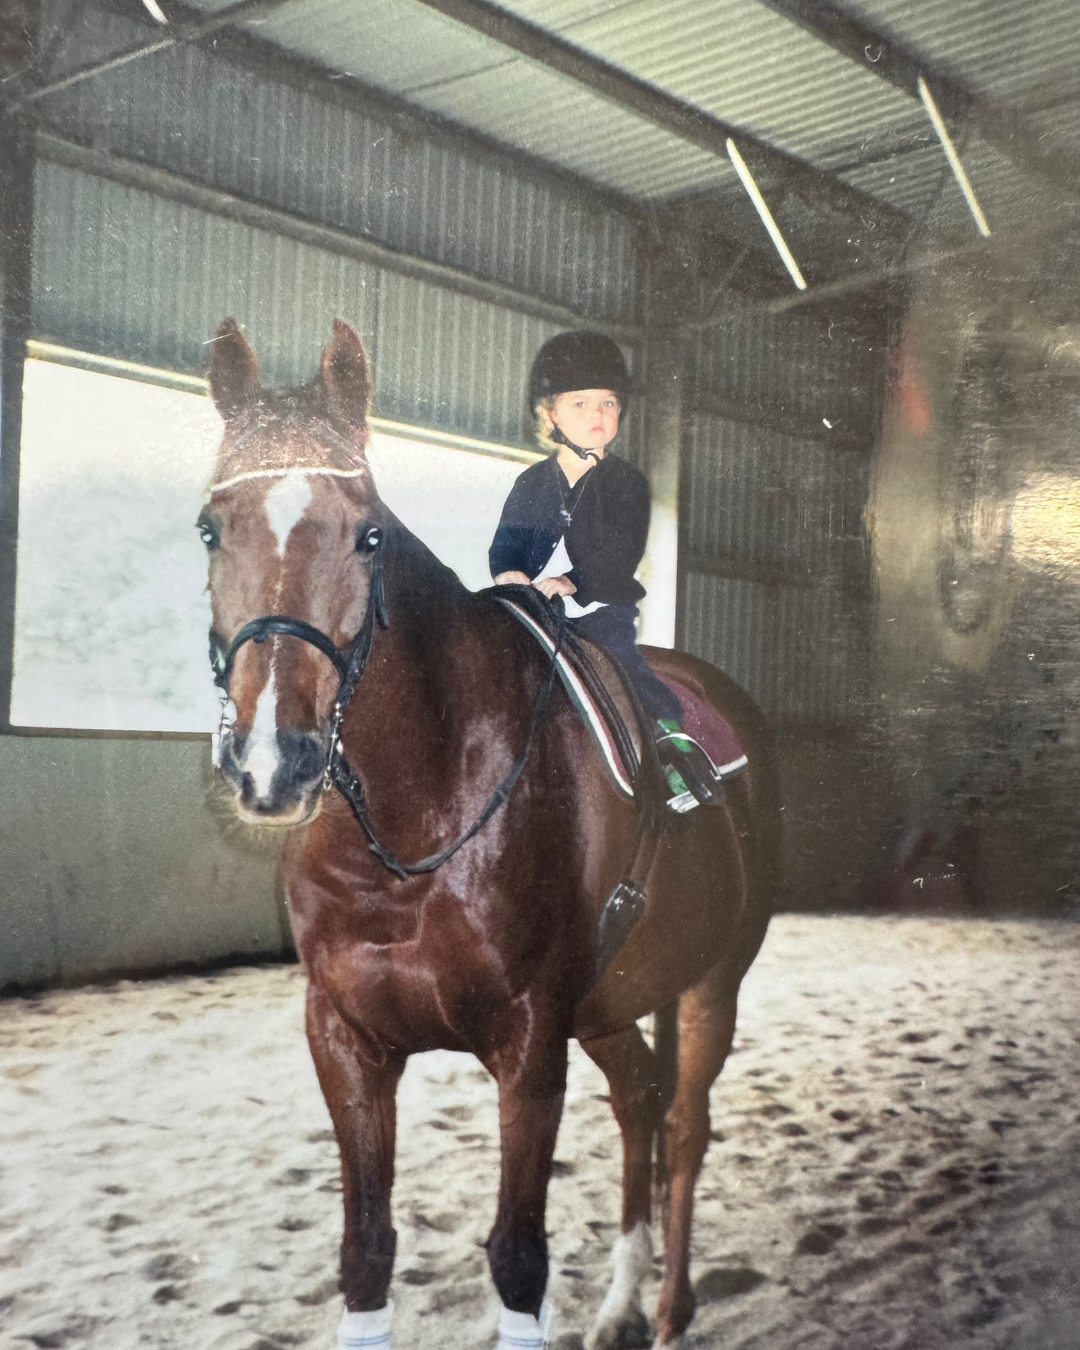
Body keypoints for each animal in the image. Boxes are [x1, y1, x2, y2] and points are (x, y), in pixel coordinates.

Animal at [199, 317, 781, 1349]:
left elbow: (518, 1260)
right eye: (209, 528)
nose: (274, 761)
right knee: (639, 1100)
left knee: (683, 1128)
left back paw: (671, 1310)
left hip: (714, 979)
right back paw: (622, 1304)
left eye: (369, 534)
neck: (410, 829)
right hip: (611, 1004)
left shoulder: (529, 1044)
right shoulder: (345, 1038)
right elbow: (366, 1254)